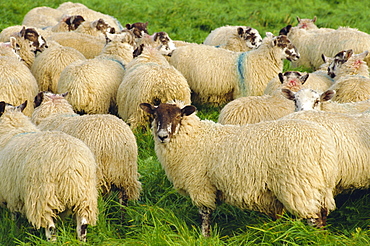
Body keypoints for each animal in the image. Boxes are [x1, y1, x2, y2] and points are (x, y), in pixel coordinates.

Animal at [0, 100, 98, 242]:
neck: (14, 129)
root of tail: (70, 164)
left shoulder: (12, 194)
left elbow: (15, 218)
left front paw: (15, 232)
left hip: (43, 196)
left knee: (51, 228)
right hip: (85, 196)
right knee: (83, 226)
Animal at [140, 100, 340, 236]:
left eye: (178, 116)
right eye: (156, 116)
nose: (162, 136)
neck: (194, 138)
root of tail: (322, 146)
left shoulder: (201, 186)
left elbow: (205, 215)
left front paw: (205, 237)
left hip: (299, 185)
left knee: (314, 218)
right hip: (318, 186)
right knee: (322, 214)